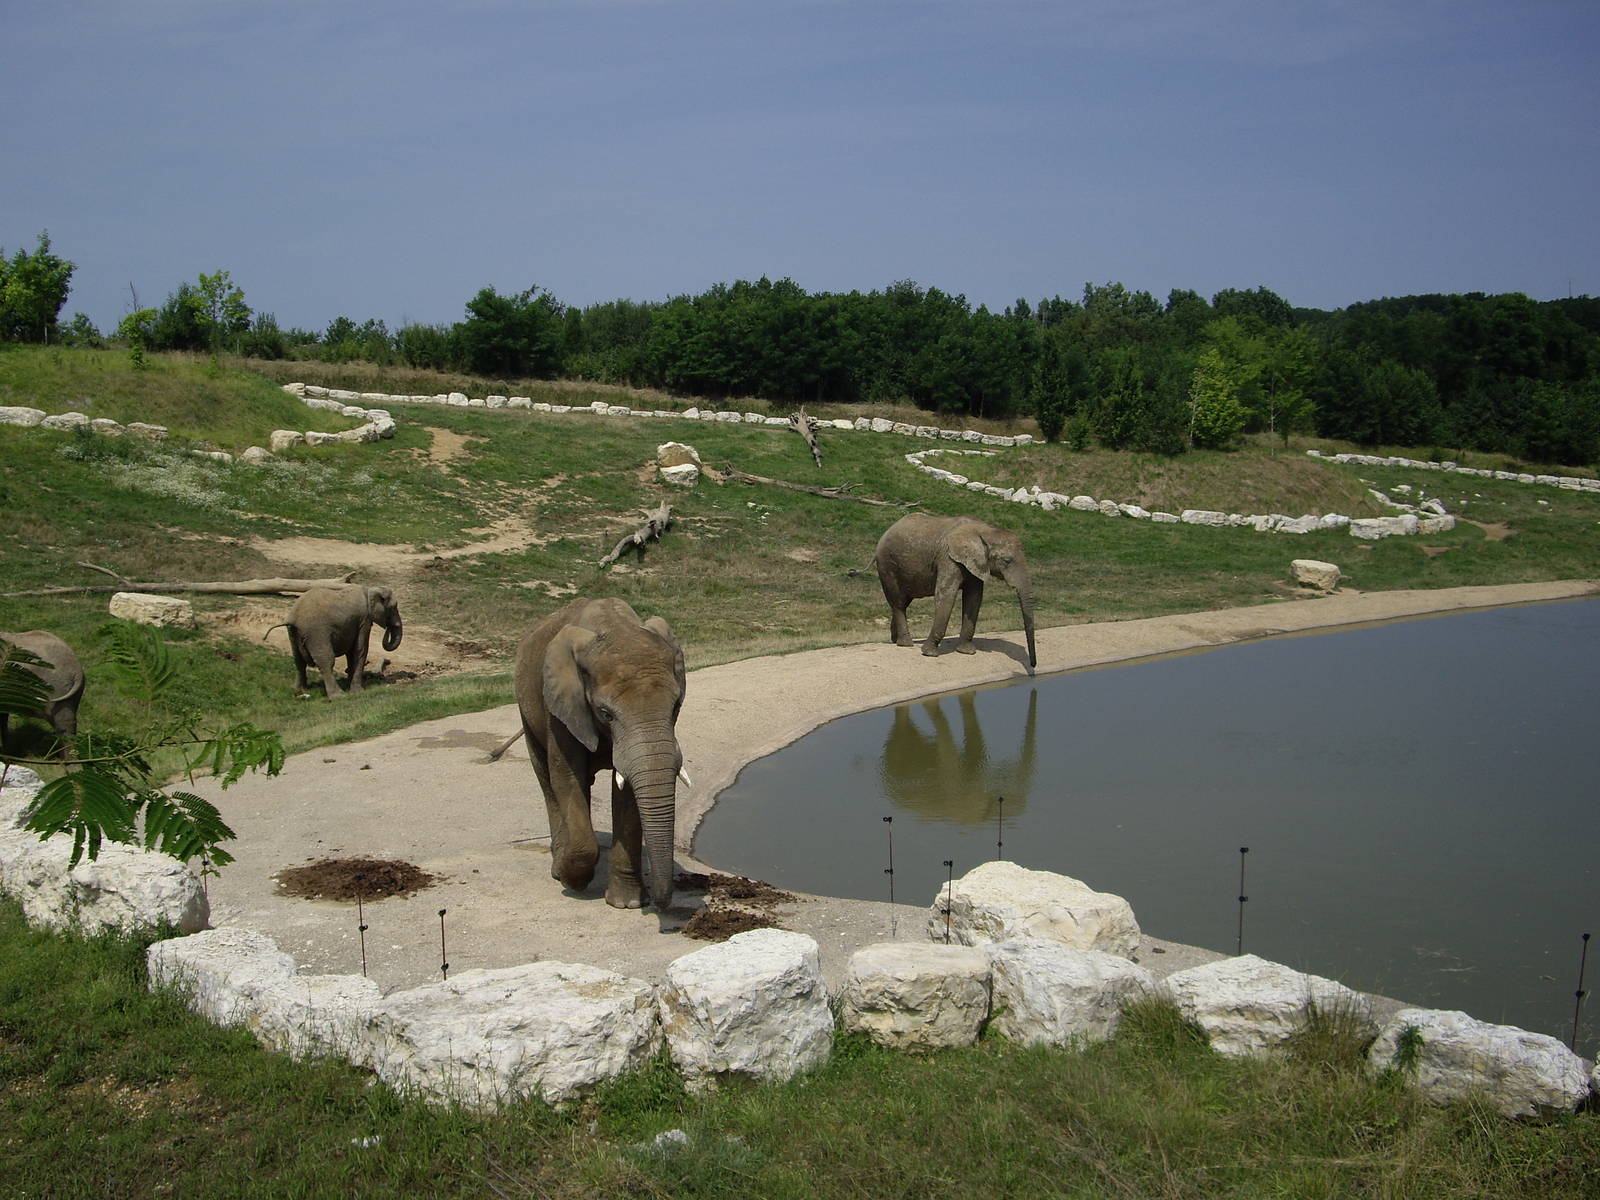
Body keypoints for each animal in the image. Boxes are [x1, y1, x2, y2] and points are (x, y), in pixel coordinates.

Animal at [514, 597, 686, 910]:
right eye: (606, 714)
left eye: (676, 706)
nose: (661, 902)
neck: (614, 626)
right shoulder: (560, 705)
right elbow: (567, 776)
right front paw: (573, 881)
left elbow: (627, 793)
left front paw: (627, 903)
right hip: (527, 707)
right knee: (547, 779)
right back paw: (558, 867)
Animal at [874, 513, 1037, 668]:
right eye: (1006, 561)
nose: (1033, 665)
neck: (985, 530)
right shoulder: (948, 558)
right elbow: (946, 595)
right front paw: (929, 653)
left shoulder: (975, 563)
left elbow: (974, 598)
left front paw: (966, 651)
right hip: (887, 565)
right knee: (898, 602)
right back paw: (906, 643)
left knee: (903, 601)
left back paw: (895, 640)